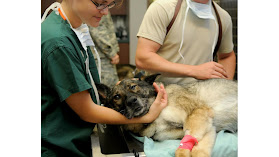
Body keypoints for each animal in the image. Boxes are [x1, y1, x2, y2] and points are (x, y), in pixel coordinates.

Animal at [97, 74, 238, 157]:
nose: (132, 101)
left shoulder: (197, 113)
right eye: (116, 97)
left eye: (133, 86)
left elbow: (187, 147)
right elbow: (196, 146)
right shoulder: (206, 127)